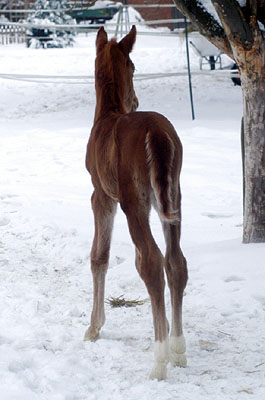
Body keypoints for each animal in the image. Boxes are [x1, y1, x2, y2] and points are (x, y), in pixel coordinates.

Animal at [83, 26, 187, 380]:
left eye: (132, 65)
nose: (136, 100)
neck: (107, 115)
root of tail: (156, 133)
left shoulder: (101, 196)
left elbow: (99, 256)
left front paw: (94, 328)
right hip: (173, 197)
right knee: (176, 263)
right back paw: (178, 348)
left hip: (134, 203)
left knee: (151, 263)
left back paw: (159, 360)